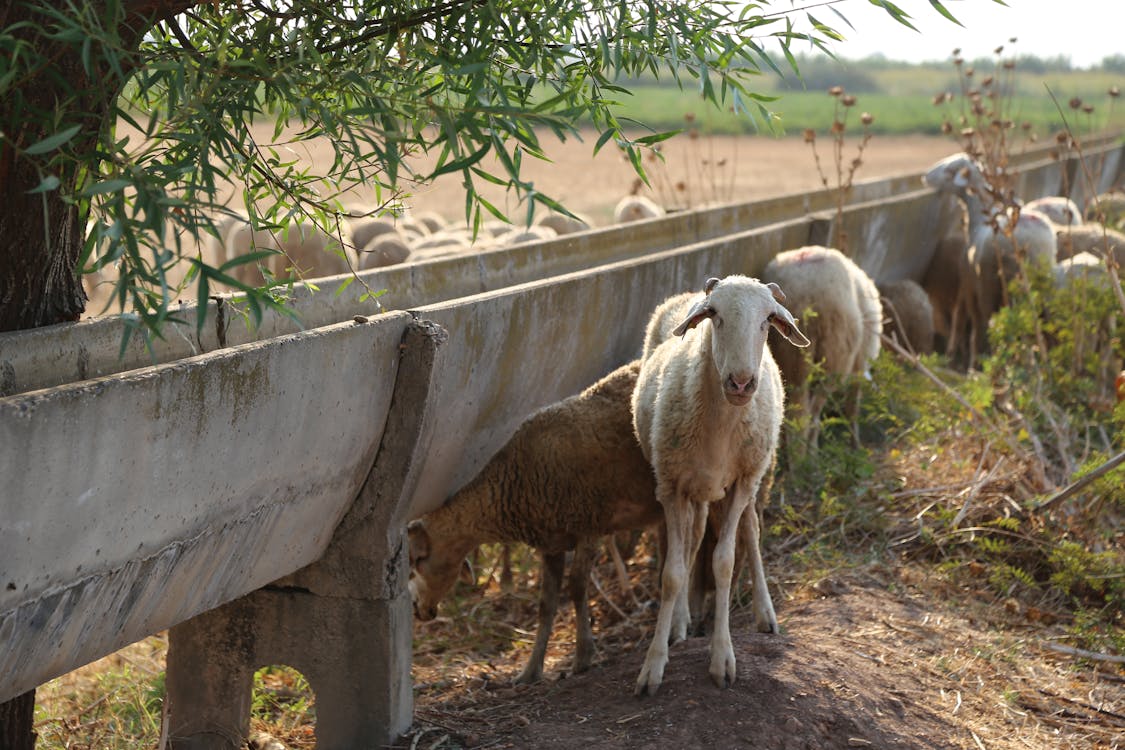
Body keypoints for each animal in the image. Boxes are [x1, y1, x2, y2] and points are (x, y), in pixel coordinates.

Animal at [409, 359, 661, 683]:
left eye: (418, 559)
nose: (417, 609)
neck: (517, 479)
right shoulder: (552, 542)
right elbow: (546, 604)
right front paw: (530, 671)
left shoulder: (589, 524)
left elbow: (577, 587)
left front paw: (583, 656)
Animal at [634, 275, 810, 697]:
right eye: (715, 315)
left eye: (767, 320)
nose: (742, 383)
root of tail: (684, 294)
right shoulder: (670, 486)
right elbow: (673, 572)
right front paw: (654, 664)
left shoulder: (742, 483)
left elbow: (725, 564)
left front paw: (722, 659)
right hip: (695, 488)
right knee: (692, 539)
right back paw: (681, 620)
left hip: (751, 477)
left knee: (750, 531)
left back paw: (765, 613)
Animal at [760, 246, 882, 449]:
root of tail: (806, 292)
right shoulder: (858, 364)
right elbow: (853, 407)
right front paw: (855, 443)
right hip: (834, 356)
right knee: (812, 414)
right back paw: (809, 451)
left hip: (792, 357)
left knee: (797, 413)